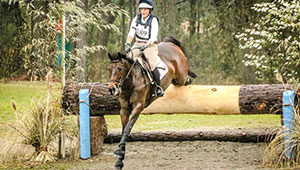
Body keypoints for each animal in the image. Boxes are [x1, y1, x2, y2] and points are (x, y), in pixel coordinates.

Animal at [108, 36, 197, 169]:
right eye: (109, 69)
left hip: (181, 75)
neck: (132, 81)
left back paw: (189, 79)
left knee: (185, 79)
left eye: (119, 68)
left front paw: (119, 152)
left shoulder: (138, 107)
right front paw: (120, 158)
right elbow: (124, 129)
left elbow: (128, 128)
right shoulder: (124, 109)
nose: (111, 89)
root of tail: (170, 44)